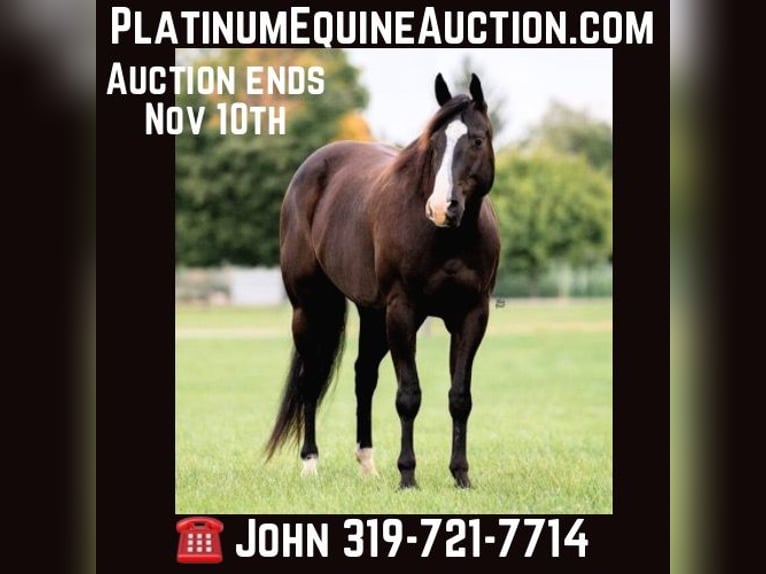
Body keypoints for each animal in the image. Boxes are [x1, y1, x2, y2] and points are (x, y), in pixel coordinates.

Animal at [265, 73, 500, 489]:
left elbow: (460, 398)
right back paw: (310, 463)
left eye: (477, 139)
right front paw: (407, 476)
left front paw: (461, 476)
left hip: (373, 315)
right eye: (434, 143)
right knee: (312, 380)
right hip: (309, 307)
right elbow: (408, 396)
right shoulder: (403, 312)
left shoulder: (472, 315)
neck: (448, 241)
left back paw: (367, 463)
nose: (442, 208)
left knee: (364, 377)